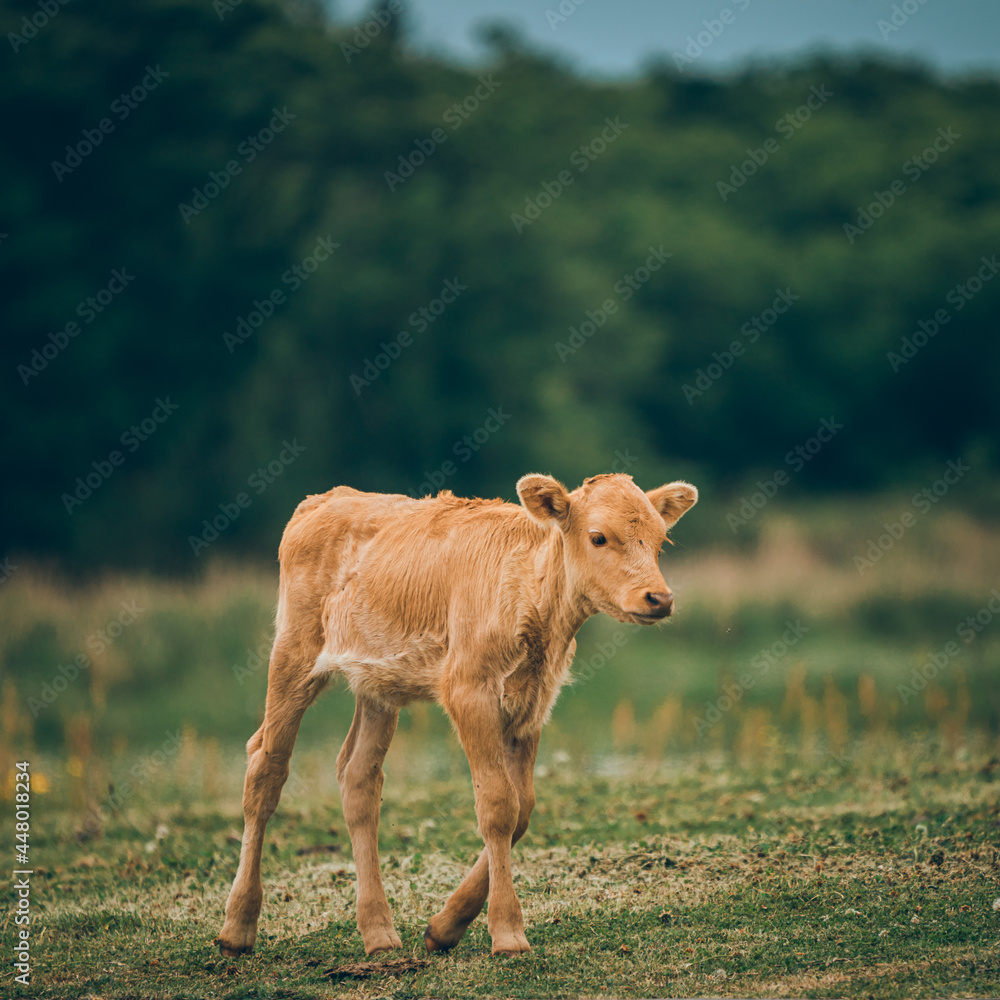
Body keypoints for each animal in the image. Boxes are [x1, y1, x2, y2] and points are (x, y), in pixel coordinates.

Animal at [216, 472, 698, 959]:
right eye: (598, 537)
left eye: (660, 542)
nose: (659, 597)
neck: (531, 595)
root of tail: (325, 499)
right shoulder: (469, 691)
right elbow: (498, 805)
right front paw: (507, 932)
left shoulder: (533, 702)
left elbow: (523, 808)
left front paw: (445, 926)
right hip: (293, 654)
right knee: (265, 769)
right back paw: (237, 927)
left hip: (377, 685)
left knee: (358, 778)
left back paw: (379, 933)